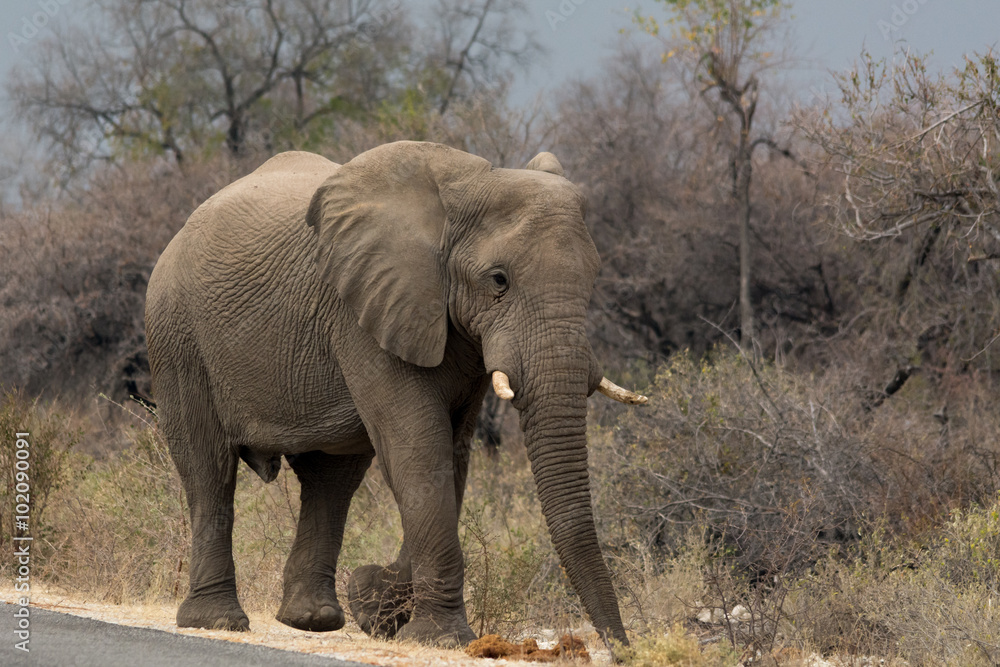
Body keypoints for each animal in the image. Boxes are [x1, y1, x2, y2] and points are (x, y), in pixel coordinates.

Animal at [146, 142, 648, 652]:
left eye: (593, 278)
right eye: (498, 280)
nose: (624, 649)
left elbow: (450, 456)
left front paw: (376, 605)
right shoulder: (363, 312)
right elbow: (418, 449)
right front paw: (438, 637)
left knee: (332, 478)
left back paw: (314, 619)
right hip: (177, 335)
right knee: (209, 469)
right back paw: (217, 622)